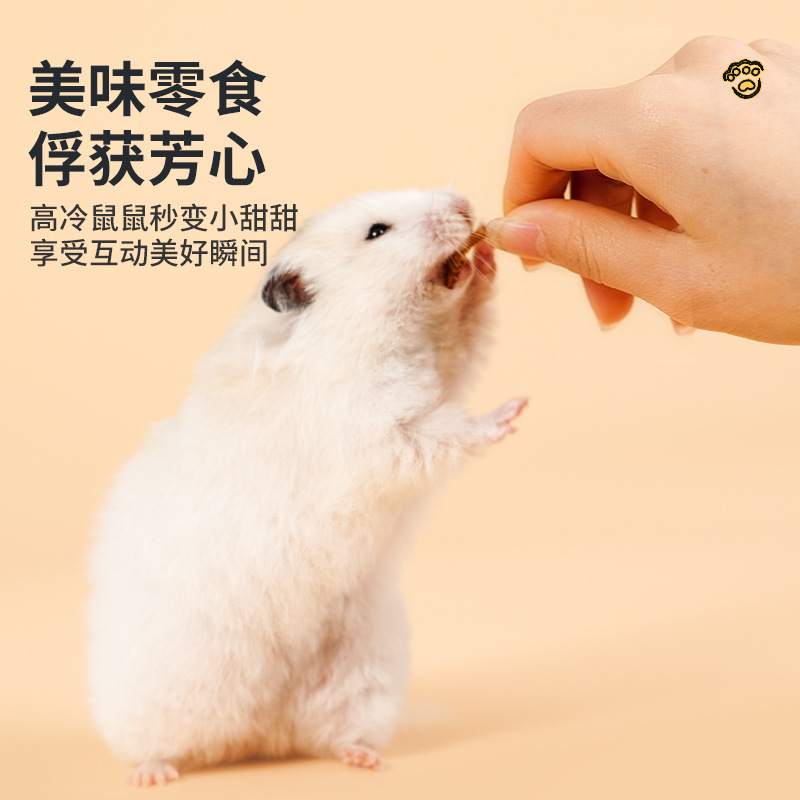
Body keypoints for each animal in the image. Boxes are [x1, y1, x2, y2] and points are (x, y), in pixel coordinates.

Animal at [86, 188, 527, 787]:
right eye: (376, 232)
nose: (461, 202)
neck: (373, 331)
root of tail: (260, 734)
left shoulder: (444, 370)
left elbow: (468, 337)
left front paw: (484, 262)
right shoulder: (383, 436)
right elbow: (448, 432)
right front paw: (513, 412)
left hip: (366, 677)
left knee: (336, 734)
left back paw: (365, 759)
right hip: (160, 696)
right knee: (158, 745)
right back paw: (151, 774)